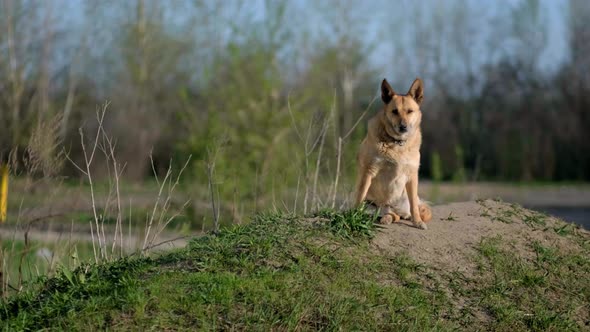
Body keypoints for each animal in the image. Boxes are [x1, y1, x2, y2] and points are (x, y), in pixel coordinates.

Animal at [356, 77, 434, 230]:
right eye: (394, 111)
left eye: (410, 111)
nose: (403, 127)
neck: (397, 143)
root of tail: (389, 207)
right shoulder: (369, 171)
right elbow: (360, 195)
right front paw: (353, 215)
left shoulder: (412, 174)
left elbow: (414, 207)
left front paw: (417, 222)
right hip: (373, 206)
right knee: (389, 214)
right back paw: (385, 218)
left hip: (405, 199)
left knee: (402, 213)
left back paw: (394, 217)